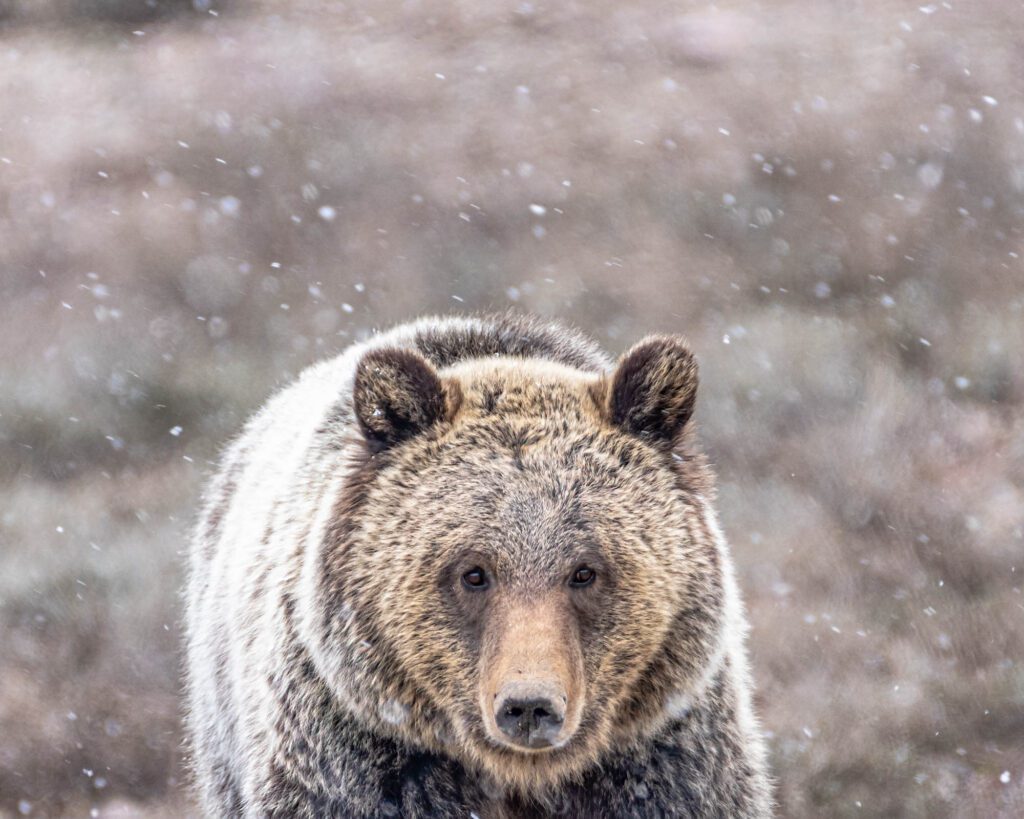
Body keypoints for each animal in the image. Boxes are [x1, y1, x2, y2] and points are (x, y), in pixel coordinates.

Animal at [184, 312, 772, 818]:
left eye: (584, 570)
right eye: (473, 572)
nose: (529, 706)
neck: (517, 779)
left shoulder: (663, 756)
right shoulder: (357, 757)